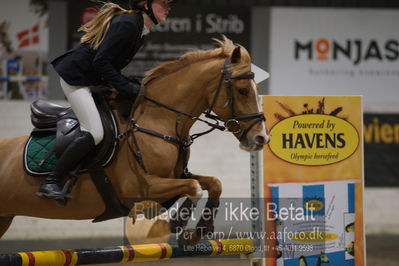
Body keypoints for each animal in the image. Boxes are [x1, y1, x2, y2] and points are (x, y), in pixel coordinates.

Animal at [0, 36, 270, 246]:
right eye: (243, 90)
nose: (261, 138)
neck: (158, 120)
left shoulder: (176, 175)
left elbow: (214, 183)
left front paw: (197, 232)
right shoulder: (140, 188)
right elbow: (194, 187)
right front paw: (178, 222)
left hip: (5, 217)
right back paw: (51, 188)